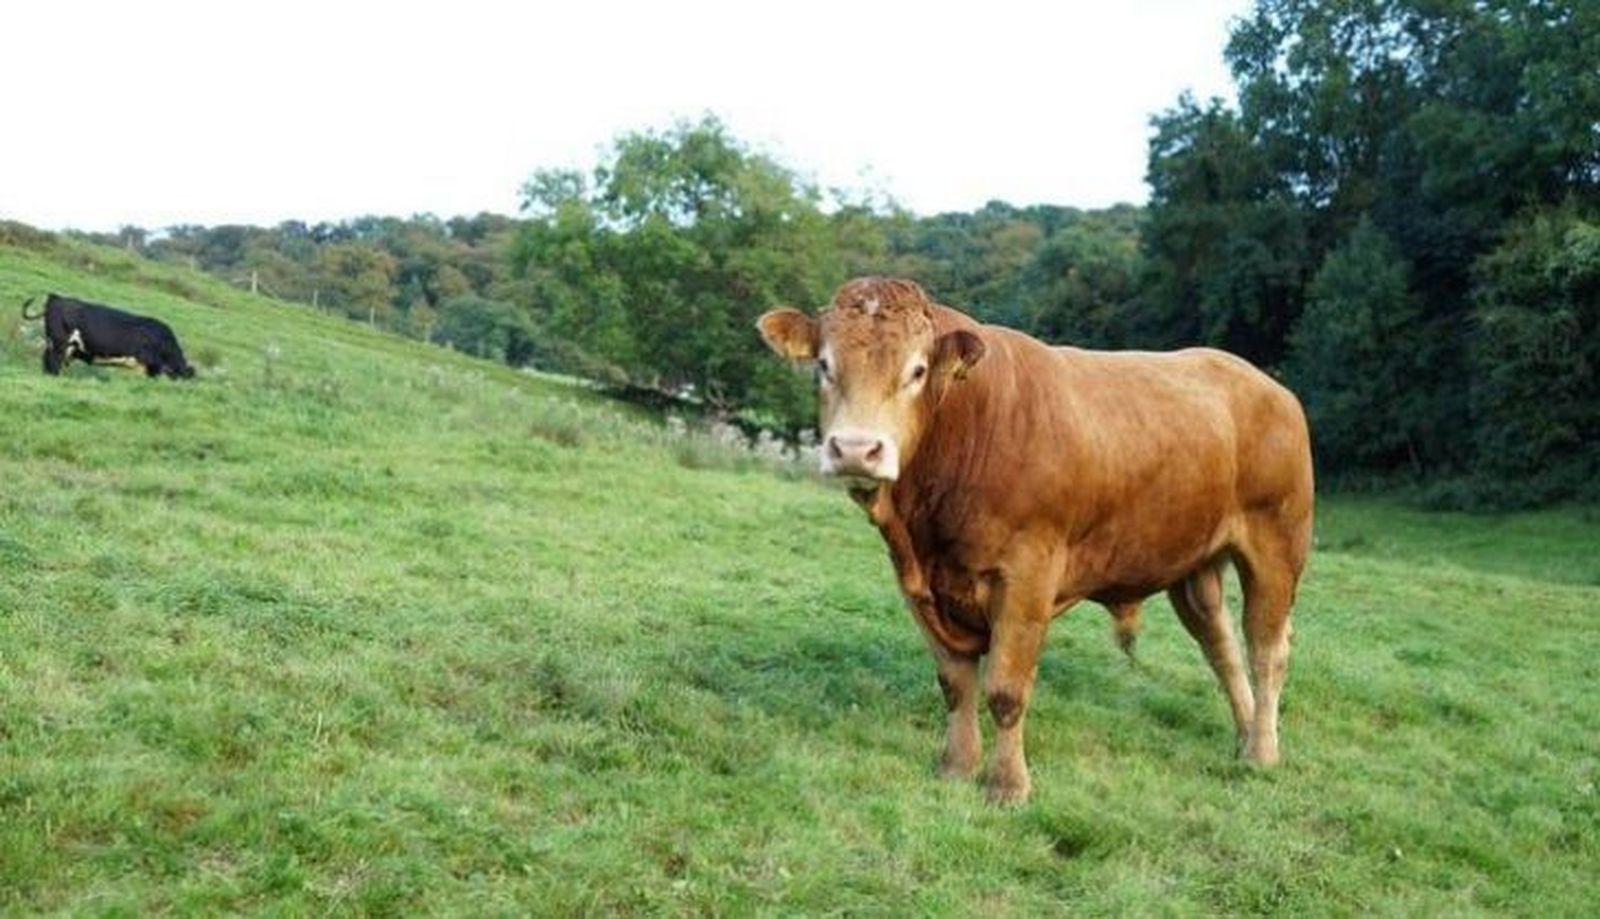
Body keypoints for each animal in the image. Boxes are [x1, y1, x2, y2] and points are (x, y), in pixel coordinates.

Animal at [21, 294, 195, 379]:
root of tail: (56, 298)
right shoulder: (151, 365)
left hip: (58, 345)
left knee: (47, 360)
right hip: (60, 344)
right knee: (53, 362)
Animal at [757, 278, 1313, 804]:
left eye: (917, 370)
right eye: (824, 365)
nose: (856, 450)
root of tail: (1262, 381)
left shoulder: (1026, 575)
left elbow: (1005, 689)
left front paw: (1007, 785)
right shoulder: (916, 582)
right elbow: (955, 684)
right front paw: (957, 767)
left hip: (1276, 544)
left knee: (1267, 649)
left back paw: (1262, 751)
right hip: (1194, 561)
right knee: (1222, 646)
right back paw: (1245, 734)